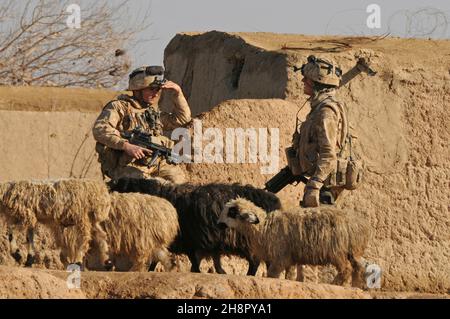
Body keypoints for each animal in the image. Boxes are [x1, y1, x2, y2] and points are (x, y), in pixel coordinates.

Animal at [108, 178, 282, 278]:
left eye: (124, 187)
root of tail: (272, 200)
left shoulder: (189, 240)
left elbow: (193, 259)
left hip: (249, 240)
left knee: (256, 261)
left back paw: (251, 275)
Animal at [217, 198, 370, 288]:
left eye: (231, 212)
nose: (218, 224)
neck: (263, 228)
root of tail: (358, 224)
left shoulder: (280, 257)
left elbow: (272, 274)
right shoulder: (289, 258)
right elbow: (288, 274)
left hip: (337, 250)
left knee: (346, 268)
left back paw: (336, 284)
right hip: (354, 251)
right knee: (358, 267)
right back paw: (355, 286)